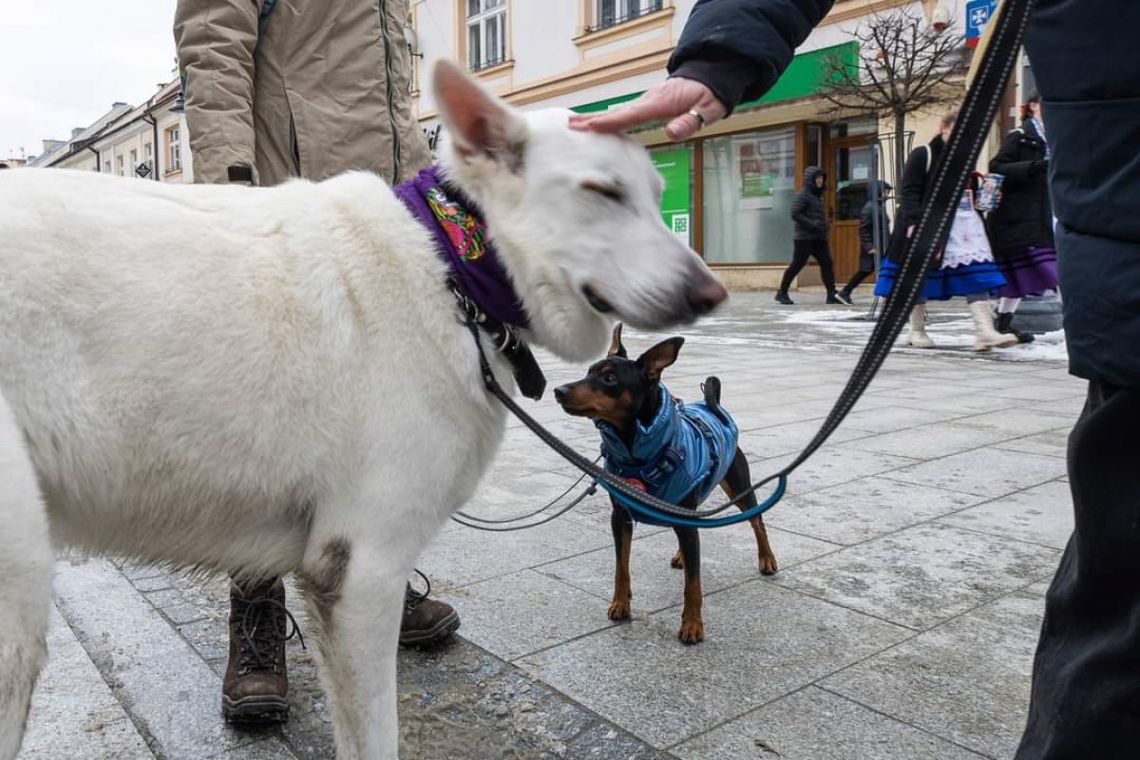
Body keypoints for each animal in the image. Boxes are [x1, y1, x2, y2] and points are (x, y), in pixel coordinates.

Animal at [551, 323, 775, 647]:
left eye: (609, 378)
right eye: (588, 371)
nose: (559, 391)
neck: (636, 450)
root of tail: (715, 407)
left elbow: (693, 584)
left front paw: (692, 625)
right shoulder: (620, 517)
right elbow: (621, 567)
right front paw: (620, 604)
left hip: (738, 484)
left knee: (757, 521)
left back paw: (767, 559)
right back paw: (682, 555)